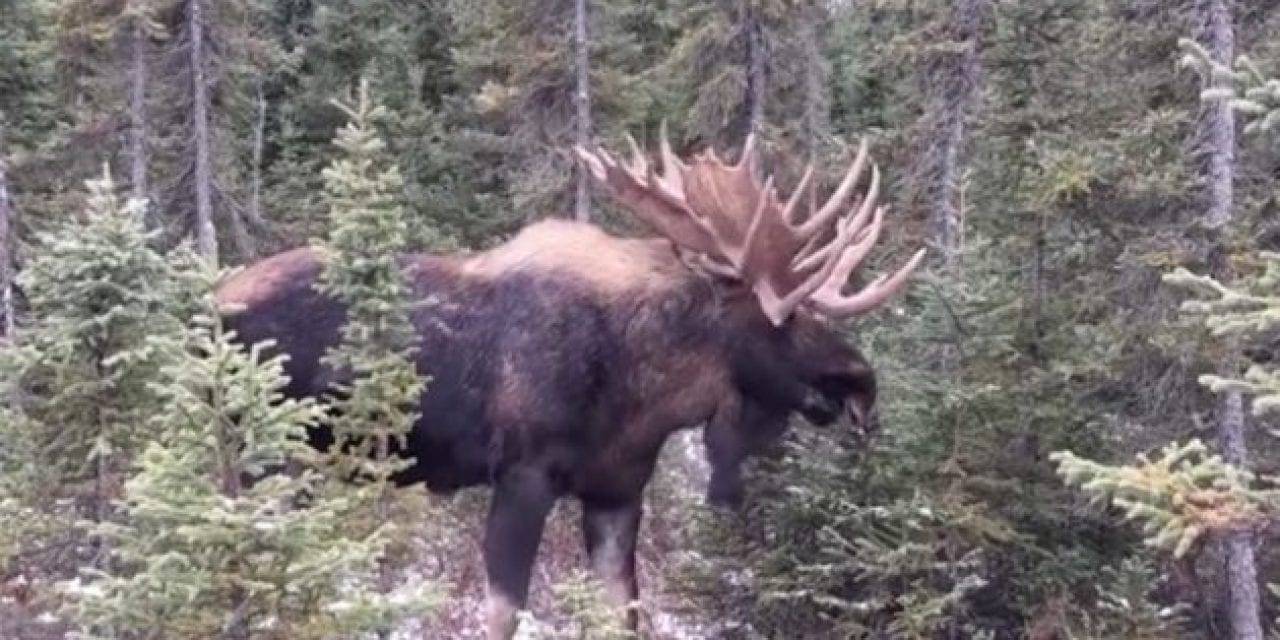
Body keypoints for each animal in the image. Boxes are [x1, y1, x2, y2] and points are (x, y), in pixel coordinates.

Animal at [217, 127, 921, 637]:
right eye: (787, 317)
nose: (863, 380)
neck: (646, 394)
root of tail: (211, 300)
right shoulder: (522, 476)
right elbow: (503, 614)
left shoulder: (617, 492)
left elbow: (623, 615)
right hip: (269, 456)